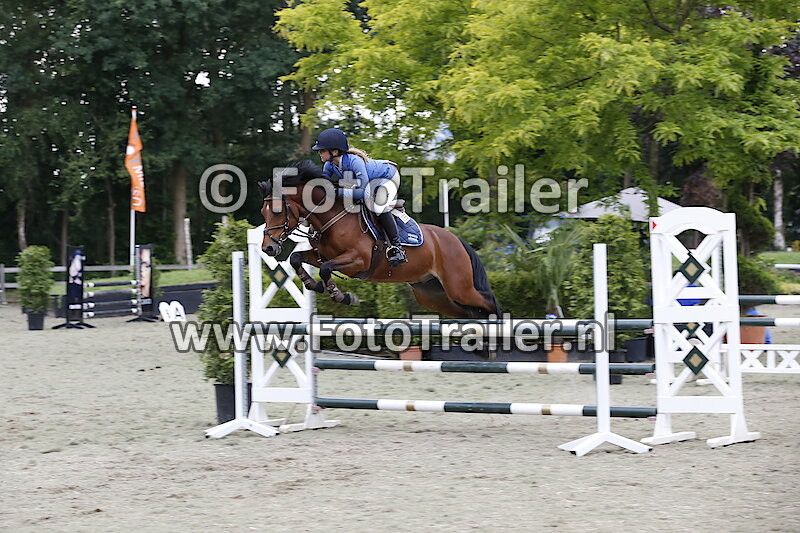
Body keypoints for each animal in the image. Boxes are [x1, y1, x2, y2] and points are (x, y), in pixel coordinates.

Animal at [259, 160, 501, 319]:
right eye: (263, 212)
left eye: (278, 211)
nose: (268, 248)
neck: (331, 219)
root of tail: (457, 240)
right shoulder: (321, 255)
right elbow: (296, 259)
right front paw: (314, 285)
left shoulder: (358, 260)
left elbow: (326, 269)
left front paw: (342, 296)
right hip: (432, 294)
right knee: (467, 312)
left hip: (459, 286)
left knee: (487, 302)